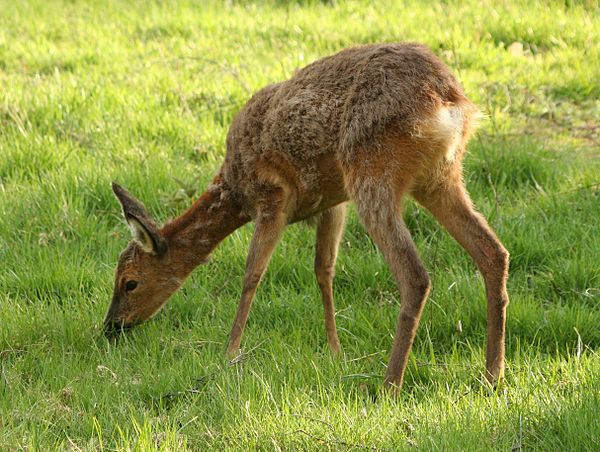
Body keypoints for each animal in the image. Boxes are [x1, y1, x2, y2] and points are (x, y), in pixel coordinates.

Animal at [105, 43, 508, 392]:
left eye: (129, 282)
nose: (111, 327)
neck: (234, 189)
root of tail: (448, 99)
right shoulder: (331, 204)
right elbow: (323, 271)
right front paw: (335, 350)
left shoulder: (272, 198)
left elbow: (252, 274)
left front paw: (229, 352)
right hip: (439, 177)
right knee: (493, 252)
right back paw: (492, 376)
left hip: (371, 171)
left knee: (415, 275)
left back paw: (390, 385)